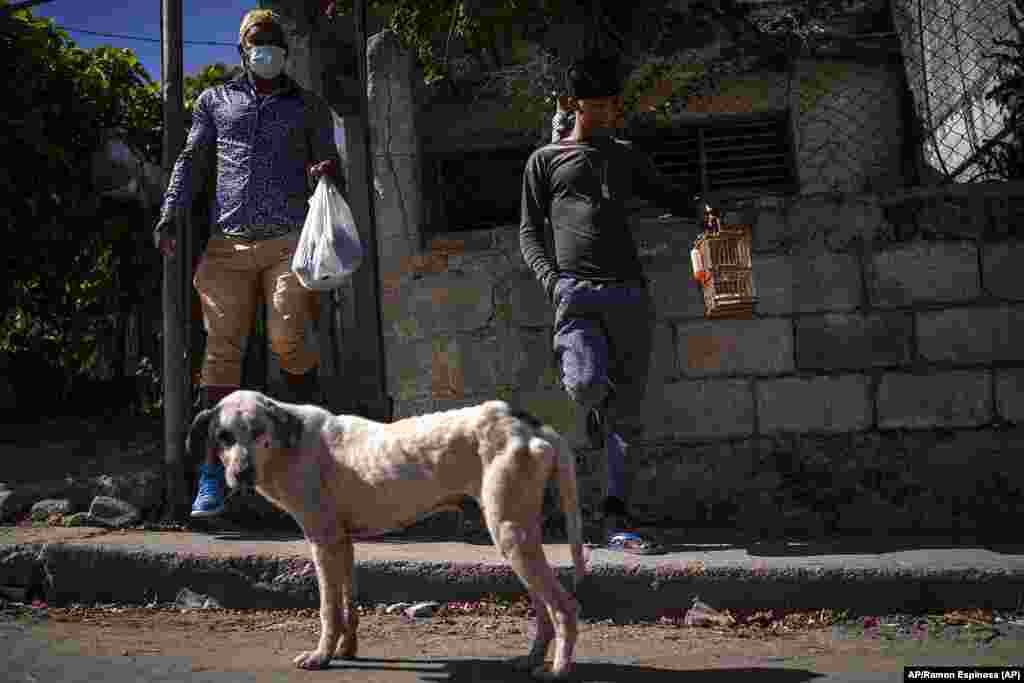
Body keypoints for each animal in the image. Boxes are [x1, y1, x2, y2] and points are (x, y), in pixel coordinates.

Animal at [185, 389, 585, 679]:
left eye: (258, 432)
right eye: (223, 437)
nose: (241, 474)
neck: (289, 442)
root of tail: (528, 423)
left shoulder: (322, 542)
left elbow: (328, 610)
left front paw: (321, 656)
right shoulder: (341, 543)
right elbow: (347, 606)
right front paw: (345, 651)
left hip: (509, 534)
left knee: (564, 606)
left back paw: (558, 670)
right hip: (517, 536)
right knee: (544, 607)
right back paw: (530, 659)